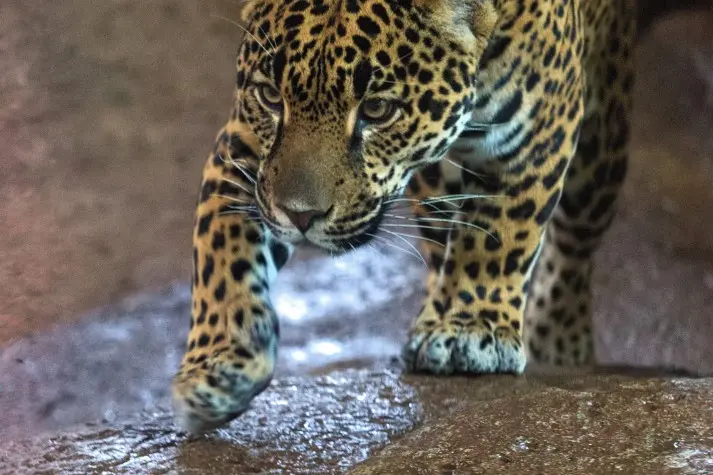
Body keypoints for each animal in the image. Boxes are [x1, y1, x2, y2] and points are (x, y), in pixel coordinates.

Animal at [171, 0, 635, 433]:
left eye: (377, 109)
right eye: (270, 96)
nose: (300, 216)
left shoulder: (535, 131)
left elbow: (497, 231)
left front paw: (469, 331)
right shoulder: (245, 149)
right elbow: (221, 245)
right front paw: (220, 362)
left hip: (599, 148)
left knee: (575, 238)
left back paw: (557, 336)